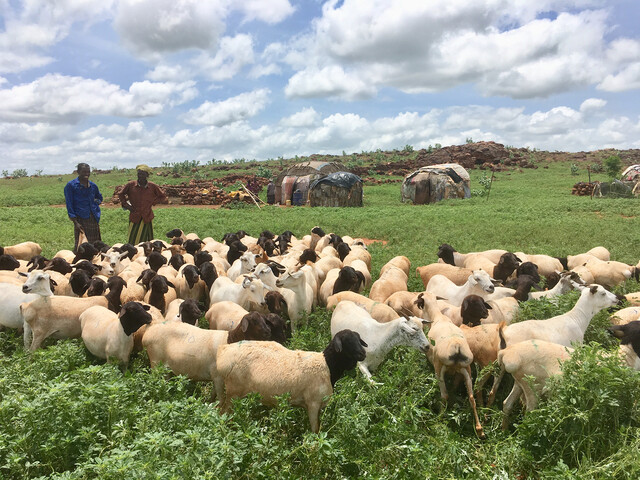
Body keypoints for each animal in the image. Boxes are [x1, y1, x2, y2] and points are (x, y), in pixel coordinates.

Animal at [142, 310, 272, 400]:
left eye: (264, 320)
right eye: (254, 321)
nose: (268, 331)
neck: (229, 340)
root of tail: (147, 334)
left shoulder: (216, 377)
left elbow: (214, 395)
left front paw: (209, 403)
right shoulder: (218, 377)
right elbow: (221, 398)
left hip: (166, 369)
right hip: (155, 362)